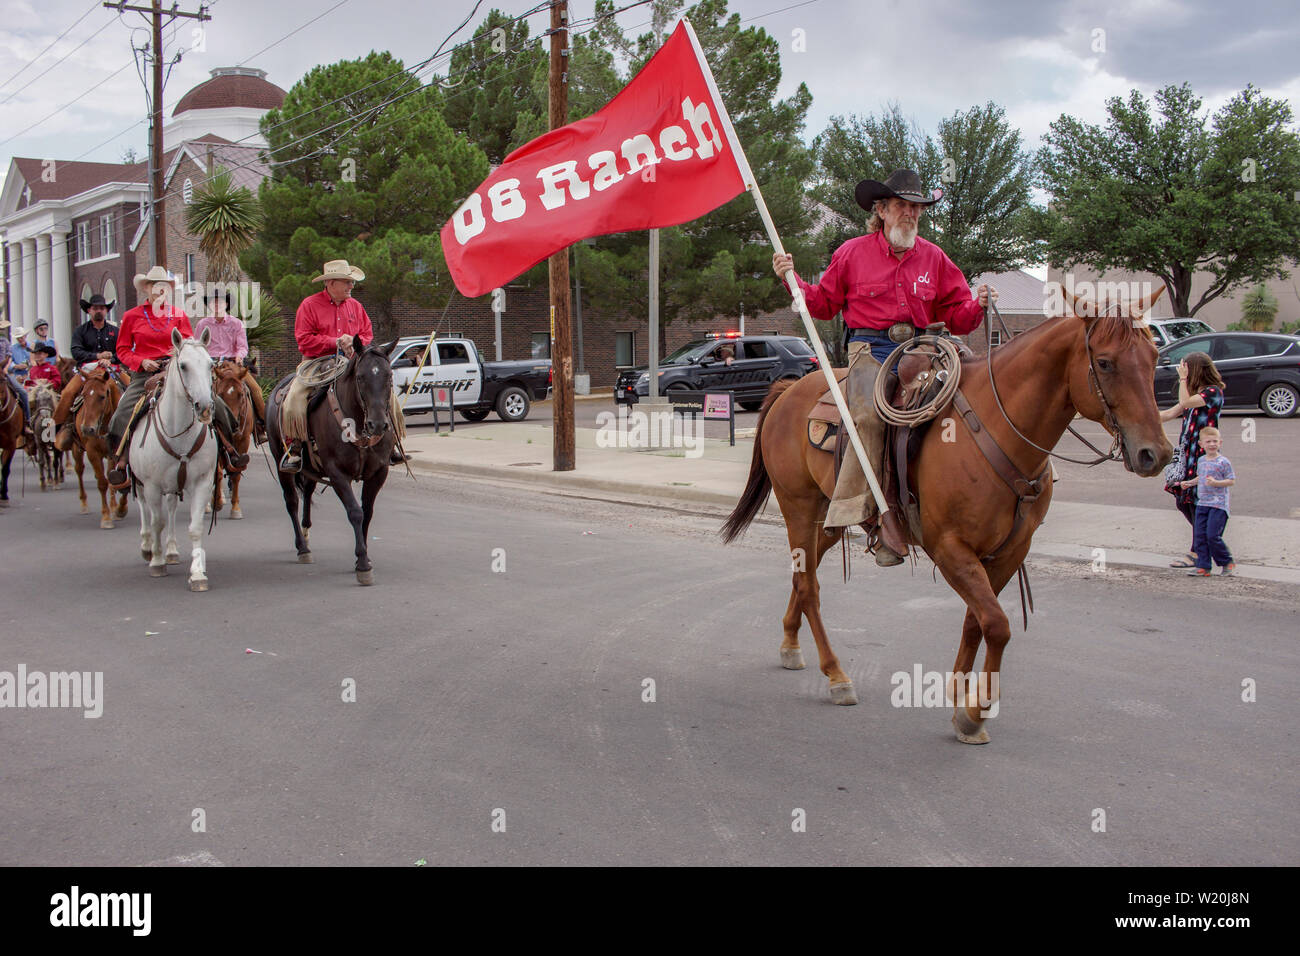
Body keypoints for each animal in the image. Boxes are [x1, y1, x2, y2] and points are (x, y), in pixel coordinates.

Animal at [57, 369, 128, 530]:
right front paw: (106, 518)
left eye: (102, 396)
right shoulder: (92, 452)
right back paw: (84, 504)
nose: (87, 429)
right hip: (77, 449)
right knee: (79, 470)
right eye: (83, 395)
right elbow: (102, 483)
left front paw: (119, 509)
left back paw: (114, 506)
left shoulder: (117, 450)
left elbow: (117, 480)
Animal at [131, 332, 218, 595]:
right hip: (141, 482)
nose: (204, 407)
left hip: (172, 485)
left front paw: (197, 573)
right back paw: (148, 547)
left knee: (169, 509)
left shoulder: (202, 482)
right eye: (183, 366)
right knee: (145, 510)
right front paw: (157, 561)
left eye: (211, 365)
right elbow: (156, 521)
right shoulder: (151, 485)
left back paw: (171, 550)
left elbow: (195, 527)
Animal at [210, 361, 253, 522]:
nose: (232, 424)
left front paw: (235, 509)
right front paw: (216, 502)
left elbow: (236, 474)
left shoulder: (244, 441)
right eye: (220, 394)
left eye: (241, 395)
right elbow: (217, 472)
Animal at [266, 340, 397, 587]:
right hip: (281, 462)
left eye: (389, 376)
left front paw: (363, 557)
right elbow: (355, 512)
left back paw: (306, 532)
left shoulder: (379, 472)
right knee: (291, 502)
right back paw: (302, 547)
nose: (378, 424)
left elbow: (367, 512)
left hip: (311, 468)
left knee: (307, 491)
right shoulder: (337, 474)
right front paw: (363, 564)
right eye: (360, 377)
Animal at [717, 291, 1175, 749]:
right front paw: (975, 714)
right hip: (799, 506)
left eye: (1154, 356)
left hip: (829, 518)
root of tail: (789, 390)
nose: (1155, 453)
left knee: (801, 577)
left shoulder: (1010, 551)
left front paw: (959, 693)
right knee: (810, 587)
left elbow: (977, 621)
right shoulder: (950, 548)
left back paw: (790, 643)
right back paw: (836, 675)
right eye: (1105, 363)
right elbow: (998, 624)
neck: (995, 428)